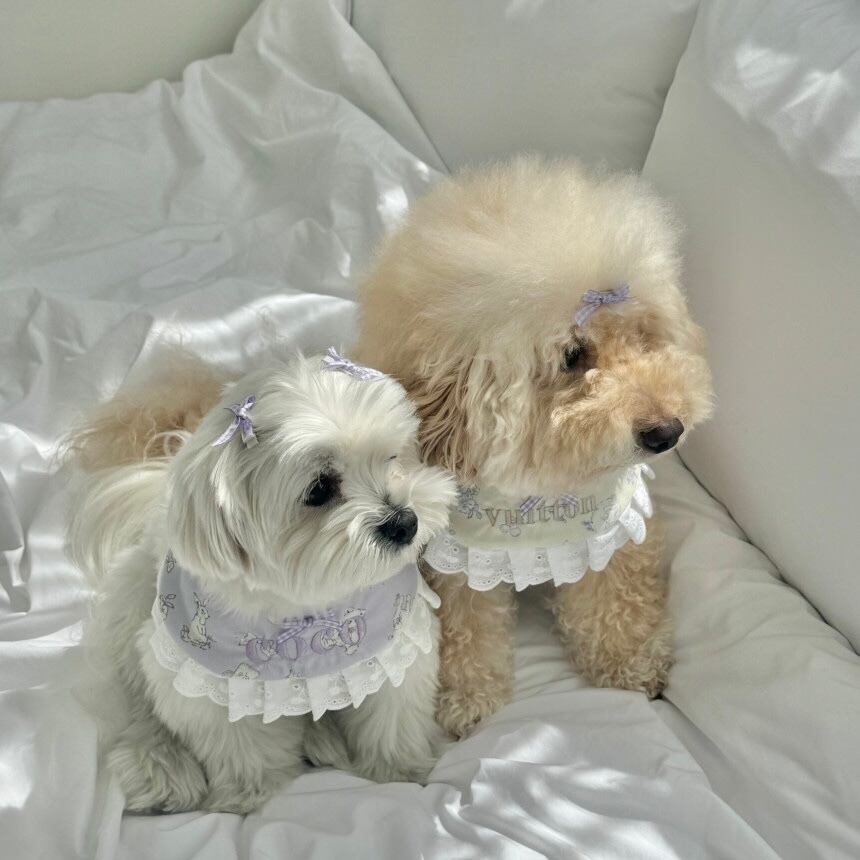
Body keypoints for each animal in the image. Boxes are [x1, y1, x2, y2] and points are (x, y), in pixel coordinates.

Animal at [68, 355, 455, 813]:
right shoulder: (217, 688)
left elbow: (393, 716)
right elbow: (241, 746)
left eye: (391, 457)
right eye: (319, 489)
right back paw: (161, 766)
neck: (305, 606)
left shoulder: (393, 651)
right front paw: (247, 795)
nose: (404, 522)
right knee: (144, 708)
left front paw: (402, 770)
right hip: (134, 613)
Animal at [352, 156, 714, 737]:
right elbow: (466, 625)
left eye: (644, 336)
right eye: (572, 356)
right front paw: (470, 699)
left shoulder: (610, 533)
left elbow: (615, 596)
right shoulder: (458, 559)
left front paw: (632, 661)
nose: (667, 432)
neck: (542, 485)